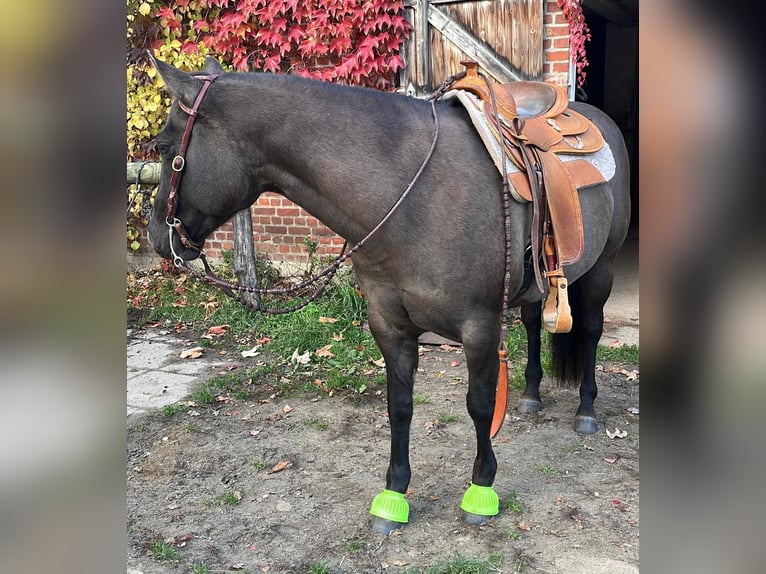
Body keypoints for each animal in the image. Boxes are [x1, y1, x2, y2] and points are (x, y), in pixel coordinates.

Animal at [146, 57, 632, 536]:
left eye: (166, 146)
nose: (155, 236)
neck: (413, 195)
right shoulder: (390, 326)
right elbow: (399, 407)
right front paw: (394, 495)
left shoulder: (479, 327)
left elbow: (478, 405)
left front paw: (481, 489)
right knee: (533, 324)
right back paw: (530, 395)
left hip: (601, 270)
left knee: (590, 331)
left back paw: (586, 410)